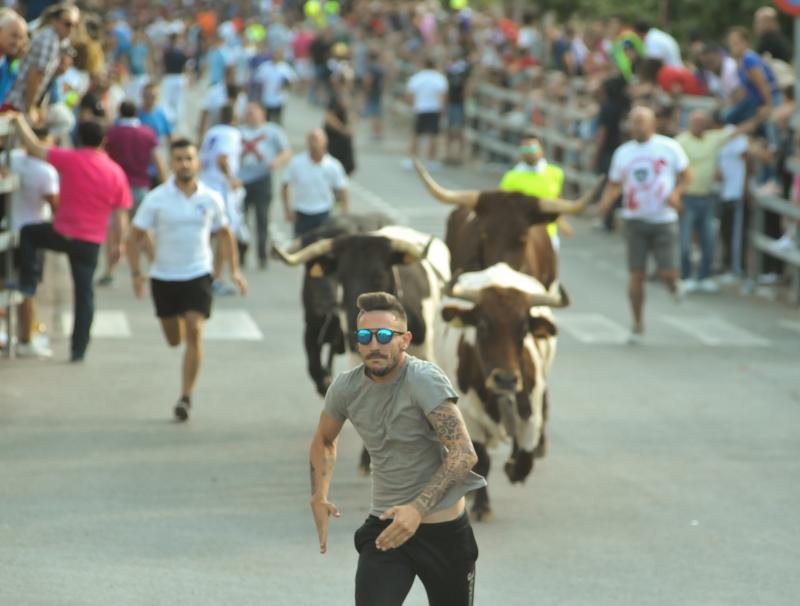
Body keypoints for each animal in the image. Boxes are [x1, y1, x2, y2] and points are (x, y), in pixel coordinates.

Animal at [438, 264, 568, 520]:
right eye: (482, 325)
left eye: (524, 329)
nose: (506, 379)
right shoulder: (468, 419)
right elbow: (482, 461)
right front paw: (482, 505)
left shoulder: (531, 415)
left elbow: (526, 458)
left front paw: (512, 468)